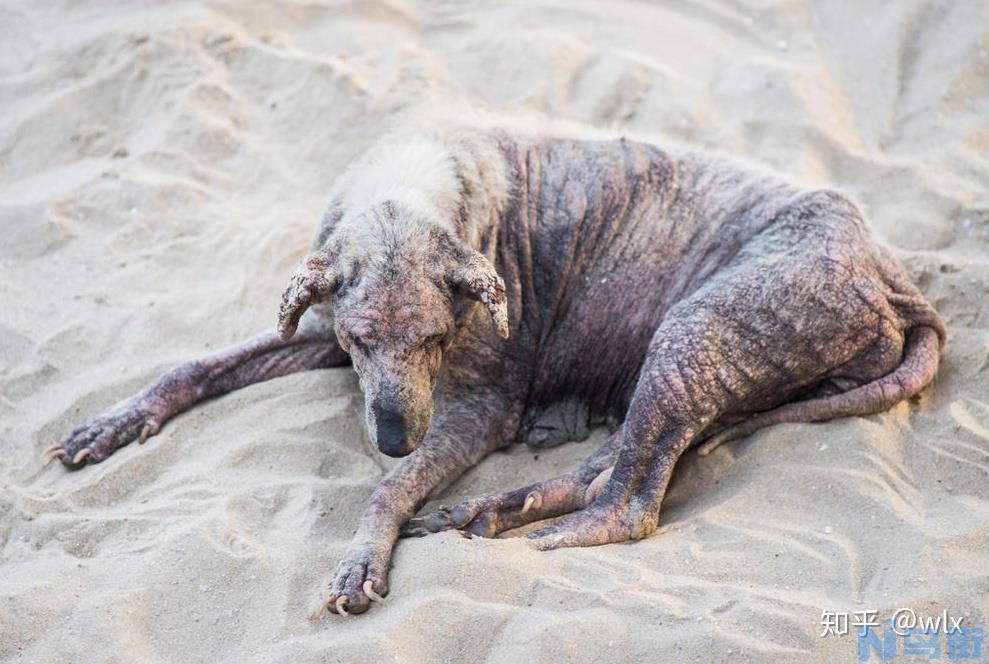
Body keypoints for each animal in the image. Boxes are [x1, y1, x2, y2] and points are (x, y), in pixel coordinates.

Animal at [44, 119, 940, 616]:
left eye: (437, 340)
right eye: (363, 342)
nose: (395, 436)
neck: (408, 188)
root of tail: (892, 279)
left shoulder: (478, 410)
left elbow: (384, 490)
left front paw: (363, 556)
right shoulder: (321, 329)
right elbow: (193, 365)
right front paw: (113, 422)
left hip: (694, 334)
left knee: (629, 504)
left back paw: (519, 529)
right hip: (707, 368)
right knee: (612, 467)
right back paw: (486, 509)